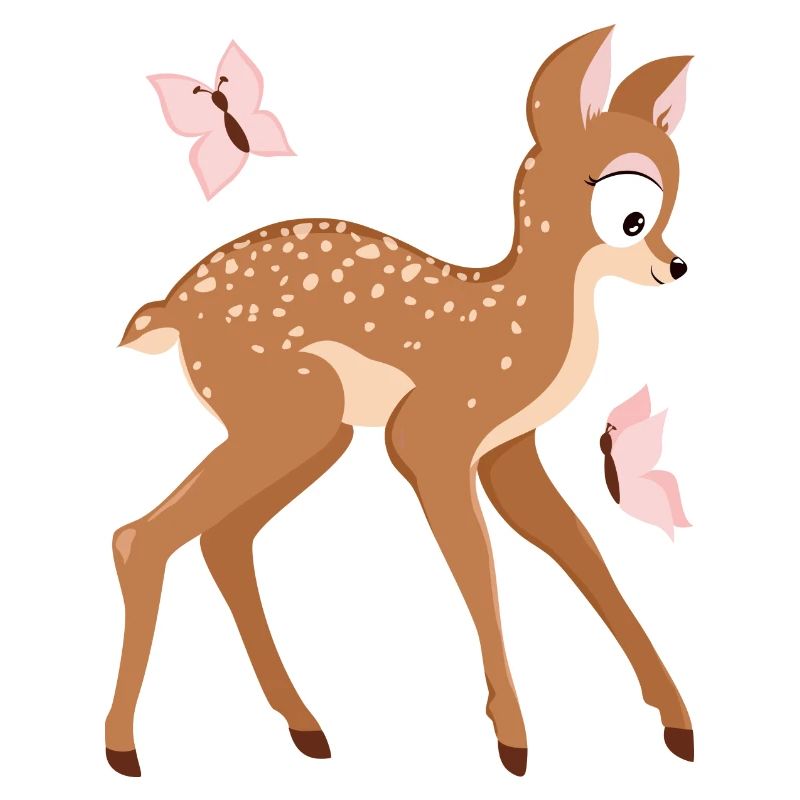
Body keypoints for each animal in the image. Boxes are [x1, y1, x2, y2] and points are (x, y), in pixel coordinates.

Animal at [106, 26, 694, 778]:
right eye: (631, 216)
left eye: (672, 200)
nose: (675, 266)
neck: (515, 316)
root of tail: (171, 310)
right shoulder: (433, 438)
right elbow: (480, 566)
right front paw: (513, 738)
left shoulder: (509, 452)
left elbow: (585, 550)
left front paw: (676, 720)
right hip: (295, 412)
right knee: (142, 537)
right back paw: (124, 747)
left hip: (312, 429)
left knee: (222, 539)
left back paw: (305, 727)